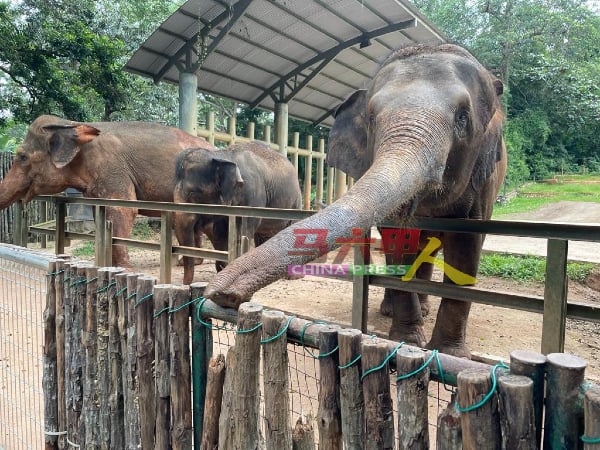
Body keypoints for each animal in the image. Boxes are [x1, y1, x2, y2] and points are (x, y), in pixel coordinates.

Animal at [0, 114, 216, 268]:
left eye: (22, 157)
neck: (71, 124)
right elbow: (101, 213)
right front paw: (110, 266)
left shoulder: (112, 168)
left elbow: (123, 211)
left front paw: (124, 269)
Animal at [176, 141, 302, 284]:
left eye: (193, 193)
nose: (185, 284)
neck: (221, 155)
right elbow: (220, 233)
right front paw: (223, 270)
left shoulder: (253, 196)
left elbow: (243, 232)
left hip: (295, 203)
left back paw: (293, 276)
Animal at [205, 44, 506, 356]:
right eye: (372, 117)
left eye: (463, 117)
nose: (220, 294)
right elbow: (397, 238)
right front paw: (409, 341)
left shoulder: (483, 181)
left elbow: (466, 248)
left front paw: (447, 352)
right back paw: (395, 310)